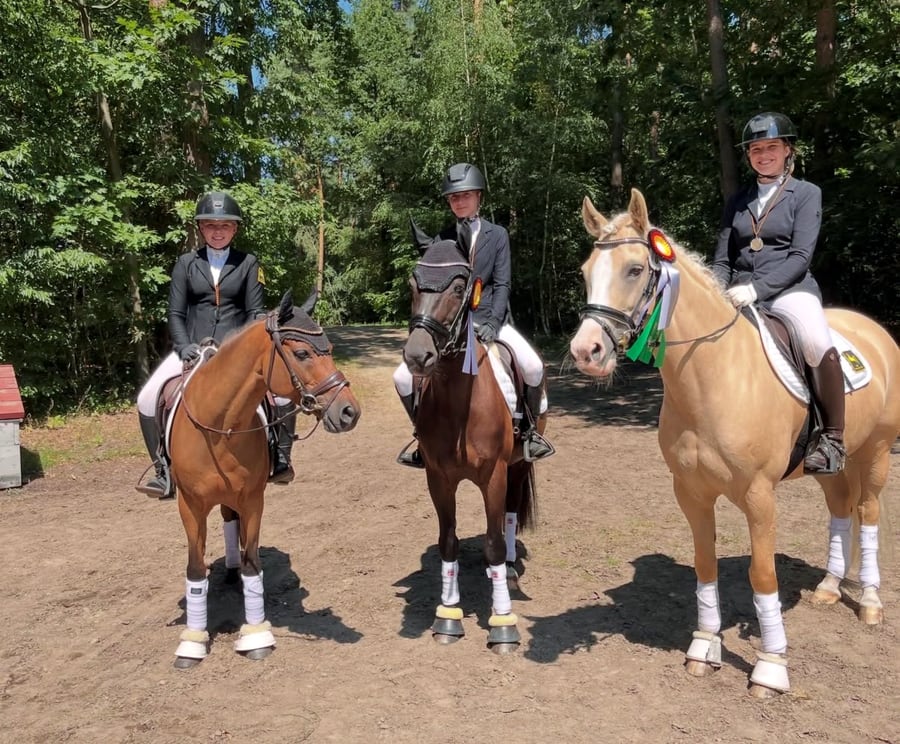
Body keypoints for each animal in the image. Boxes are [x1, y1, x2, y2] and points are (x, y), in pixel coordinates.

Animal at [168, 290, 361, 669]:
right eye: (301, 354)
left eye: (330, 348)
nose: (349, 412)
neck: (221, 427)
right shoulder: (190, 505)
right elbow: (195, 570)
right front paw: (192, 643)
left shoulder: (252, 499)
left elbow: (252, 564)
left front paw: (256, 635)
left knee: (231, 524)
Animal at [401, 226, 542, 652]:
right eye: (412, 283)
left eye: (460, 286)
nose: (417, 356)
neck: (457, 403)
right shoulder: (437, 477)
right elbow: (448, 541)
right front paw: (448, 616)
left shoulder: (493, 474)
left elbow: (494, 541)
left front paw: (503, 623)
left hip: (518, 464)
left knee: (510, 514)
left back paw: (509, 570)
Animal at [569, 188, 900, 697]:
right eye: (586, 271)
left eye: (635, 270)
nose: (586, 352)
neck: (711, 377)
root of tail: (876, 332)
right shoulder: (690, 492)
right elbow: (705, 565)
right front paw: (704, 647)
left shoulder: (759, 496)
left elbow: (761, 575)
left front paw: (771, 667)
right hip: (830, 465)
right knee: (841, 508)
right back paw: (828, 588)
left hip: (878, 452)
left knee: (867, 512)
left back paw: (869, 602)